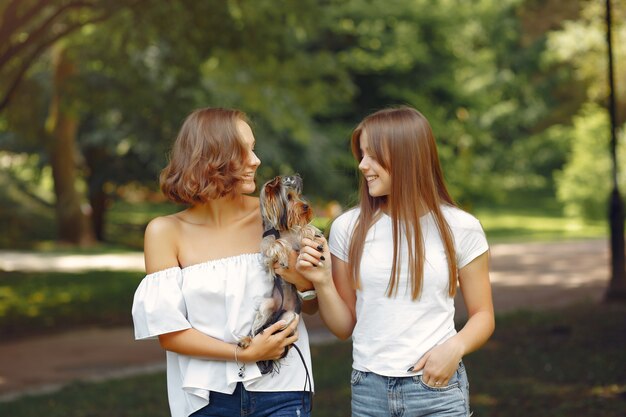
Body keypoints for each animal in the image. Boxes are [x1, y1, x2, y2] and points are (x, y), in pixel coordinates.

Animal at [238, 174, 316, 372]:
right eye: (289, 197)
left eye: (299, 196)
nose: (306, 206)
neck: (283, 229)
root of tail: (278, 314)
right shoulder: (266, 250)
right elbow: (276, 244)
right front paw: (283, 256)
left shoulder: (297, 240)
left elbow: (302, 231)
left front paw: (312, 232)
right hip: (267, 306)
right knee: (258, 330)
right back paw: (246, 340)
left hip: (290, 317)